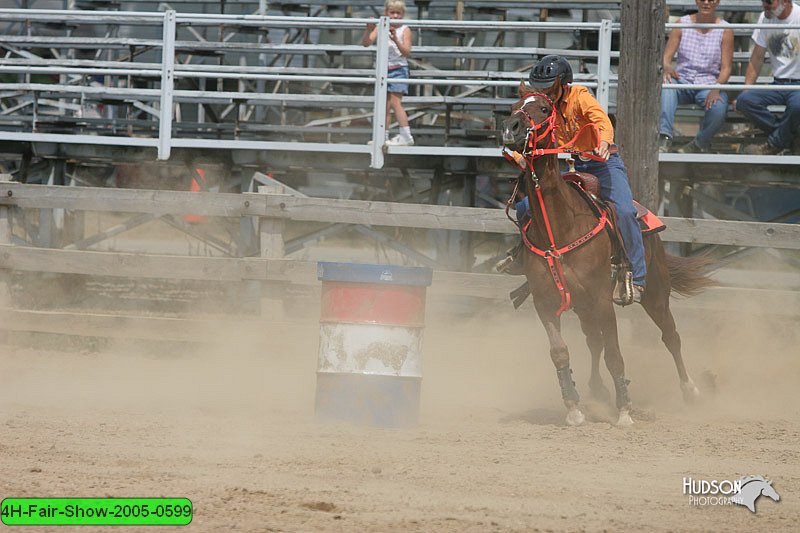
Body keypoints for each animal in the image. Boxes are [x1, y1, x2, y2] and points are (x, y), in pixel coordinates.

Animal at [504, 88, 716, 428]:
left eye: (544, 108)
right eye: (513, 106)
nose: (511, 128)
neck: (560, 226)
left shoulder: (602, 299)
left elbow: (615, 355)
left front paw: (624, 410)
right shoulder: (544, 302)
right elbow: (561, 351)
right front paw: (573, 407)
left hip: (656, 293)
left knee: (670, 336)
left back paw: (691, 391)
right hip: (583, 307)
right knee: (594, 341)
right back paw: (596, 390)